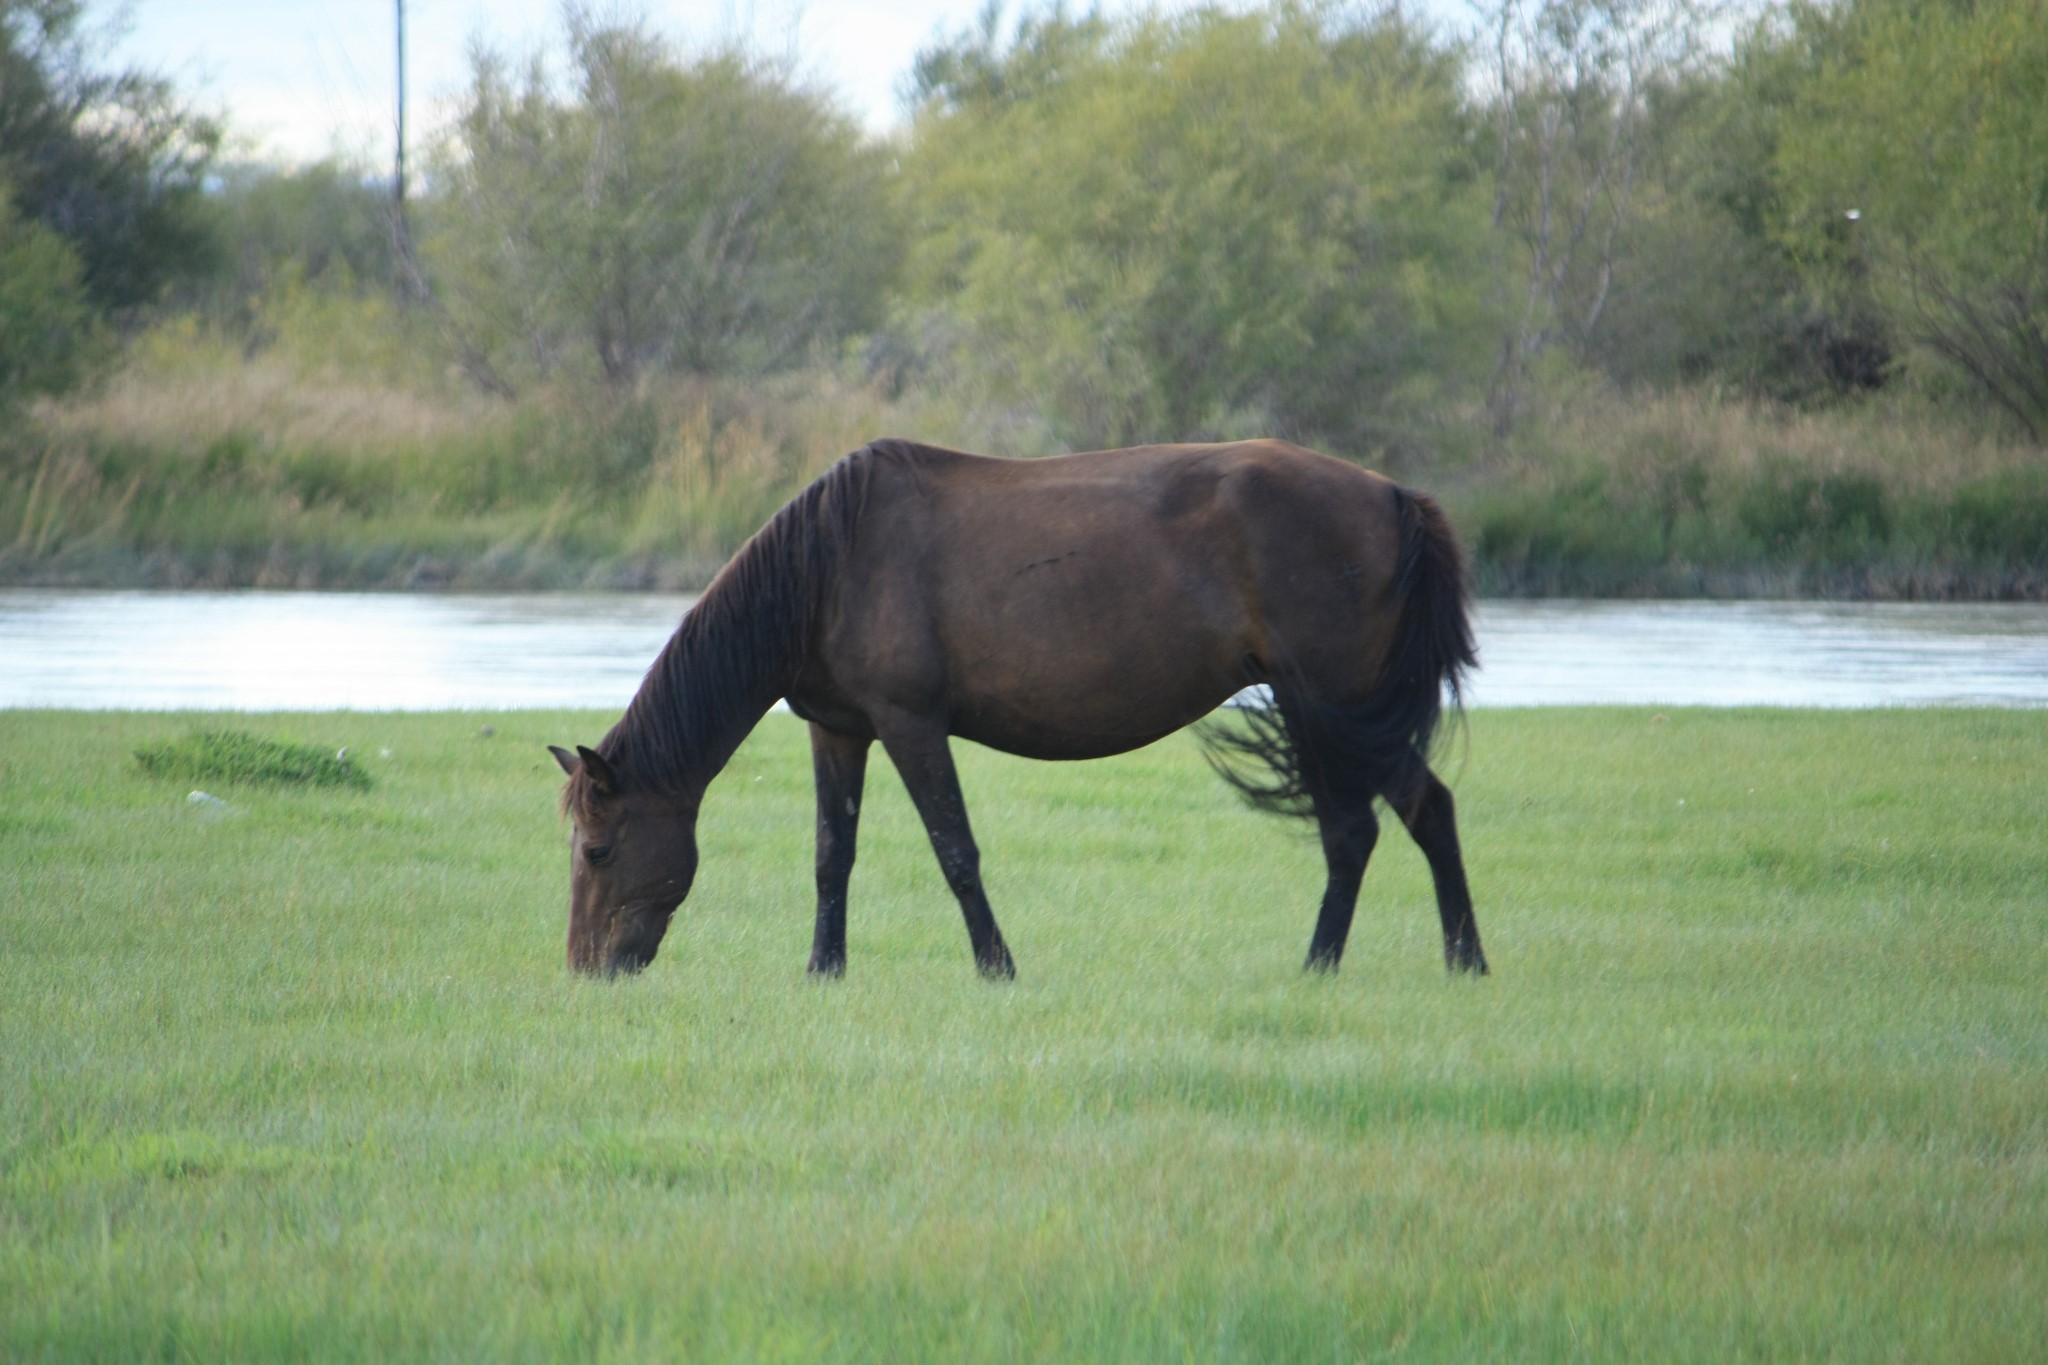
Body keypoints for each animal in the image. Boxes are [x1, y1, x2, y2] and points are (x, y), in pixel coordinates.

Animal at [548, 437, 1490, 982]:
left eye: (597, 849)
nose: (586, 969)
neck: (826, 566)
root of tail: (1396, 497)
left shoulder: (910, 721)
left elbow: (954, 849)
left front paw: (996, 966)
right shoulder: (839, 728)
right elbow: (830, 854)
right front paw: (824, 969)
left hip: (1332, 703)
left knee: (1394, 817)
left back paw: (1427, 961)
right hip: (1325, 710)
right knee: (1382, 822)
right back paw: (1368, 965)